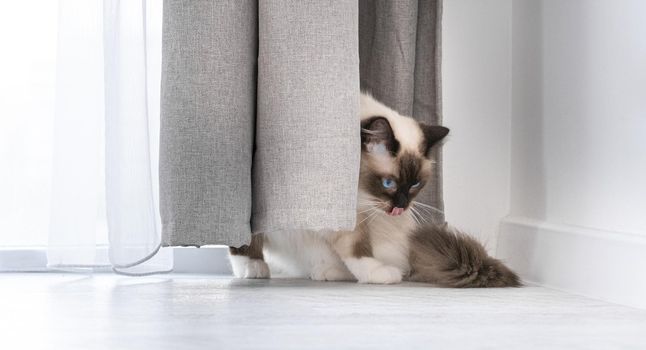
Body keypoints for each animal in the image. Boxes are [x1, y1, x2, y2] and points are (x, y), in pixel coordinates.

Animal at [229, 93, 520, 288]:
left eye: (415, 184)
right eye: (389, 183)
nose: (401, 206)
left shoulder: (351, 212)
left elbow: (355, 245)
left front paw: (374, 273)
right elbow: (247, 235)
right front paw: (250, 266)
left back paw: (329, 273)